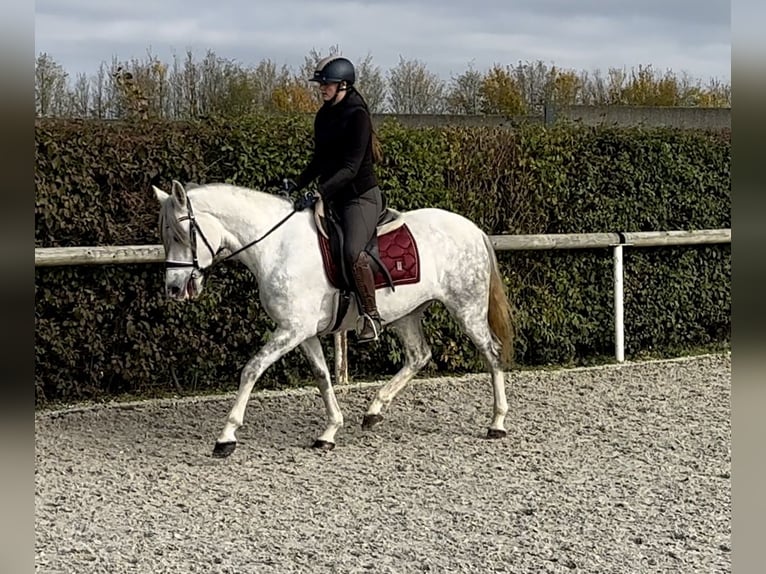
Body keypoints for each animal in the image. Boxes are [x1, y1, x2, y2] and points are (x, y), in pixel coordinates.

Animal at [154, 180, 516, 460]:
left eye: (182, 233)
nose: (173, 288)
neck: (277, 246)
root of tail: (473, 229)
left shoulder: (291, 330)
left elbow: (252, 369)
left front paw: (226, 437)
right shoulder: (304, 332)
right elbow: (322, 376)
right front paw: (329, 431)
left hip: (466, 308)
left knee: (492, 353)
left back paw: (497, 423)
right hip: (406, 314)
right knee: (418, 355)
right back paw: (374, 411)